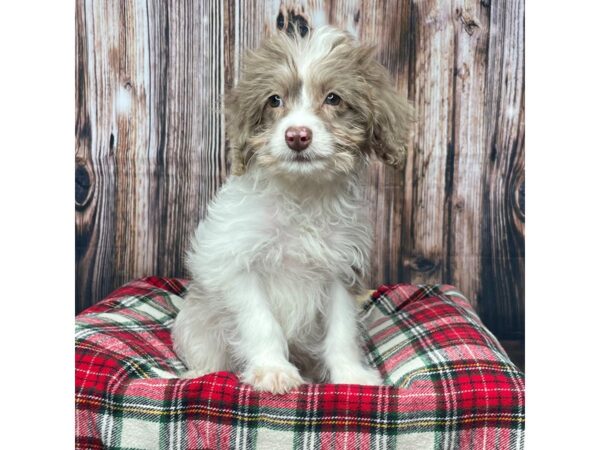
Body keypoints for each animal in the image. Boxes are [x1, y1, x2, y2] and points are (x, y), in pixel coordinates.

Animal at [171, 25, 410, 394]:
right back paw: (199, 373)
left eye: (333, 99)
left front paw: (350, 375)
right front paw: (272, 370)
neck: (302, 192)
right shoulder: (237, 264)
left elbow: (342, 330)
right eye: (274, 100)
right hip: (195, 321)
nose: (297, 135)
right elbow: (261, 322)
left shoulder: (341, 270)